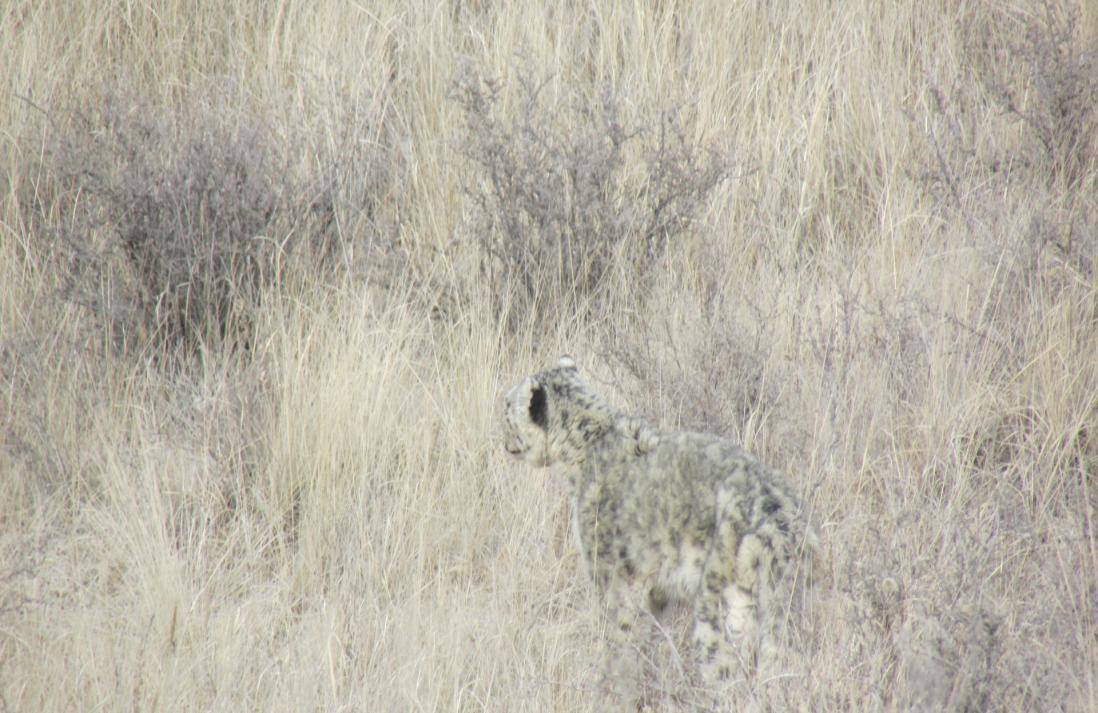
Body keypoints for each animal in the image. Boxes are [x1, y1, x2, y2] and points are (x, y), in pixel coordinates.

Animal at [502, 355, 821, 698]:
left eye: (507, 405)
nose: (502, 438)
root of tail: (780, 521)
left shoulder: (612, 576)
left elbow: (618, 639)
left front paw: (611, 688)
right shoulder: (654, 592)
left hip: (721, 604)